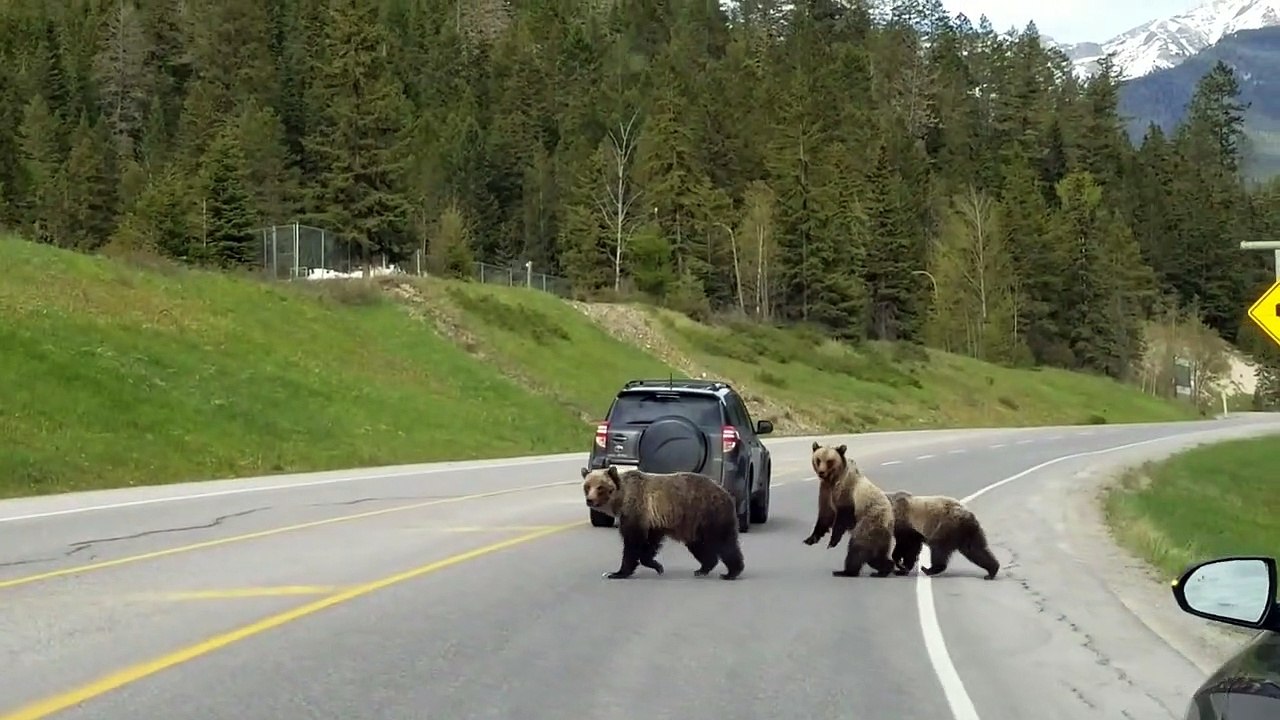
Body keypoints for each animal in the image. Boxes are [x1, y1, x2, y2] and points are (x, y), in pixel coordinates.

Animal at [581, 465, 745, 580]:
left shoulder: (636, 511)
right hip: (693, 525)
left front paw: (617, 573)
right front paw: (657, 566)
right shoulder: (653, 521)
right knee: (699, 545)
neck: (622, 499)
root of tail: (726, 492)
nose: (590, 500)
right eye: (587, 486)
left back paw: (731, 572)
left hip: (708, 514)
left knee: (725, 543)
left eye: (600, 487)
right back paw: (703, 569)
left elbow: (632, 543)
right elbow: (650, 544)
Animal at [802, 442, 897, 578]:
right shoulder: (825, 492)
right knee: (874, 555)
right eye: (818, 460)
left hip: (869, 523)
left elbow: (842, 516)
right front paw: (810, 539)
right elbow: (825, 516)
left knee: (857, 548)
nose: (821, 472)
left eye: (829, 461)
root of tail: (891, 521)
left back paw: (845, 571)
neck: (833, 480)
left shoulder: (846, 492)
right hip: (879, 533)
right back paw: (885, 568)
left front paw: (832, 542)